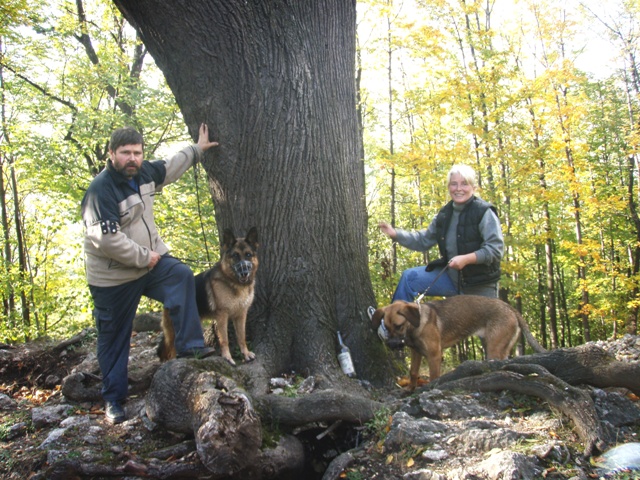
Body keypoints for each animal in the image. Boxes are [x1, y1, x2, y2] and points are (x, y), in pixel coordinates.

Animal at [370, 296, 544, 390]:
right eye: (386, 327)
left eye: (398, 326)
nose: (392, 345)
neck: (415, 326)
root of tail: (510, 308)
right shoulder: (416, 352)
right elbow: (413, 372)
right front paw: (410, 389)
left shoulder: (434, 355)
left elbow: (434, 376)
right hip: (502, 348)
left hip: (494, 348)